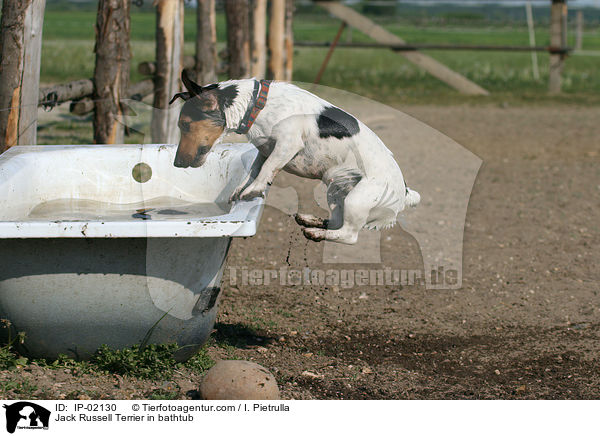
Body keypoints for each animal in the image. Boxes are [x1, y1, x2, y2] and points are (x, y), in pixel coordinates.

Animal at [171, 70, 420, 244]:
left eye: (185, 124)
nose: (177, 163)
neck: (257, 105)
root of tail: (405, 194)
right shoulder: (265, 149)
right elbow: (254, 171)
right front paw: (241, 189)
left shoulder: (286, 145)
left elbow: (266, 170)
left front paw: (253, 190)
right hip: (336, 192)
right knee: (336, 222)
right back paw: (313, 222)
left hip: (357, 199)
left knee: (349, 235)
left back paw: (315, 233)